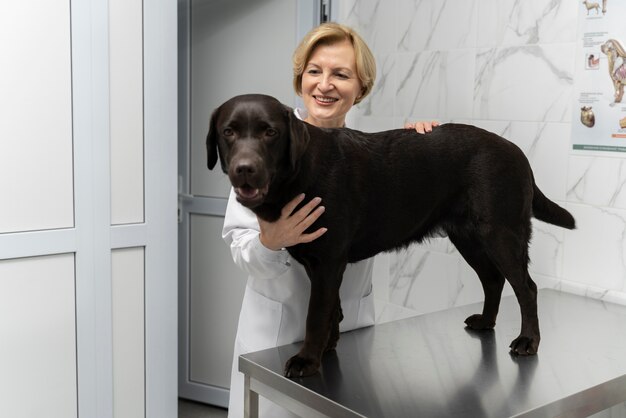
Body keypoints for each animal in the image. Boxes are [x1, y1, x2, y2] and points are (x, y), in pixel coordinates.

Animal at [204, 93, 572, 378]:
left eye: (270, 132)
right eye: (228, 132)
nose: (244, 169)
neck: (297, 174)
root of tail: (517, 151)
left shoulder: (328, 260)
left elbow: (315, 313)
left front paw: (308, 359)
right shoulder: (320, 263)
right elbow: (332, 308)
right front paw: (328, 346)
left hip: (500, 234)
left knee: (526, 288)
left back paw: (528, 341)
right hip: (468, 238)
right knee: (493, 279)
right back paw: (486, 322)